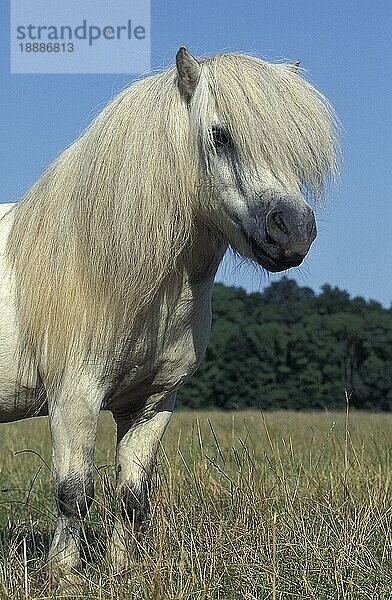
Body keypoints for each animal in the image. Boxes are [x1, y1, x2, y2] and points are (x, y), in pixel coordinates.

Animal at [0, 48, 336, 584]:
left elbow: (131, 496)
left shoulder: (153, 402)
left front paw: (122, 571)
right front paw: (63, 575)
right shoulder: (74, 396)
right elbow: (73, 492)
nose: (294, 232)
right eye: (220, 136)